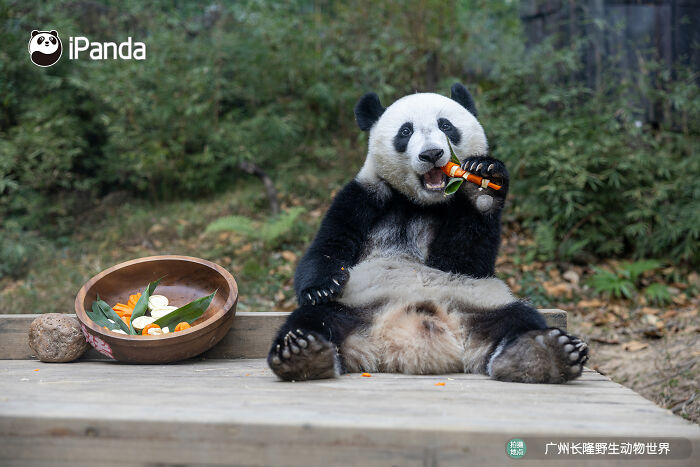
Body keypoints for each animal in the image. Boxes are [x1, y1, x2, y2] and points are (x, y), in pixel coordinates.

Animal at [267, 83, 588, 384]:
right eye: (405, 131)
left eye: (446, 125)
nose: (432, 154)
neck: (418, 201)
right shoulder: (364, 194)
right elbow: (327, 245)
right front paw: (322, 286)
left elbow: (464, 261)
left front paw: (483, 183)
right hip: (353, 306)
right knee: (313, 318)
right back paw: (302, 354)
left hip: (485, 302)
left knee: (520, 317)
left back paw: (543, 354)